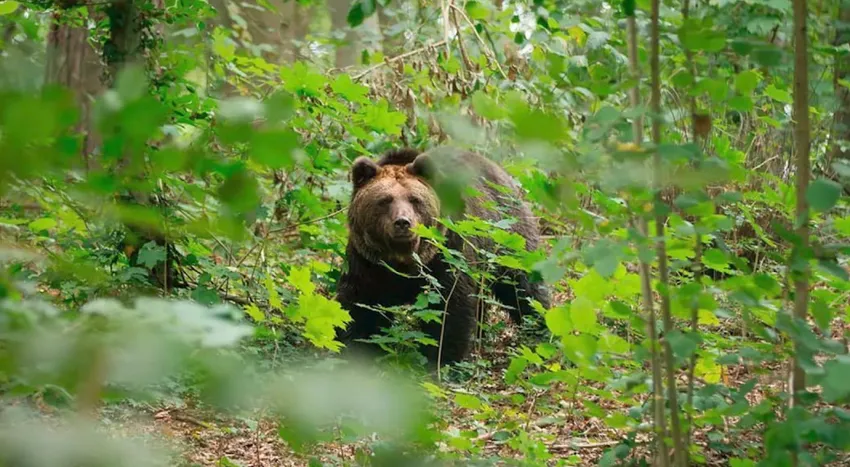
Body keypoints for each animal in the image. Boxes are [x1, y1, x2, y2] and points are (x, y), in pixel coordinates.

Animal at [334, 146, 551, 365]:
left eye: (415, 200)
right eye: (385, 200)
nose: (403, 222)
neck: (403, 261)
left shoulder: (447, 255)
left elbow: (450, 312)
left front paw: (441, 359)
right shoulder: (368, 264)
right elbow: (359, 310)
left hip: (508, 236)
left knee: (524, 288)